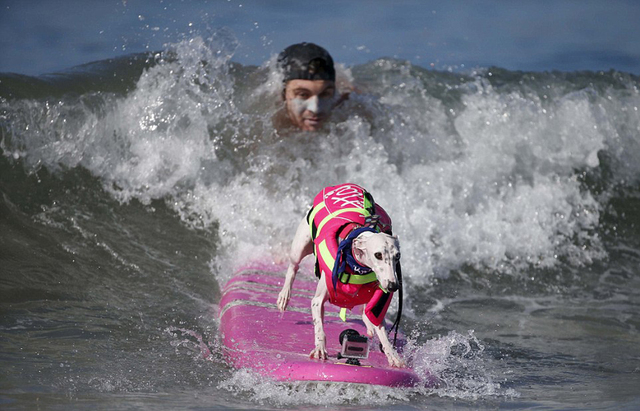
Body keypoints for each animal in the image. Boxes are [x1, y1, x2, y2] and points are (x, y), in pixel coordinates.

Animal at [276, 185, 404, 368]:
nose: (393, 286)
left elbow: (381, 329)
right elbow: (319, 327)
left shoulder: (377, 304)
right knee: (293, 268)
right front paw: (320, 349)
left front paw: (393, 356)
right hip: (300, 247)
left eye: (397, 256)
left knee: (365, 312)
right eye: (378, 255)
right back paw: (284, 296)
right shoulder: (317, 301)